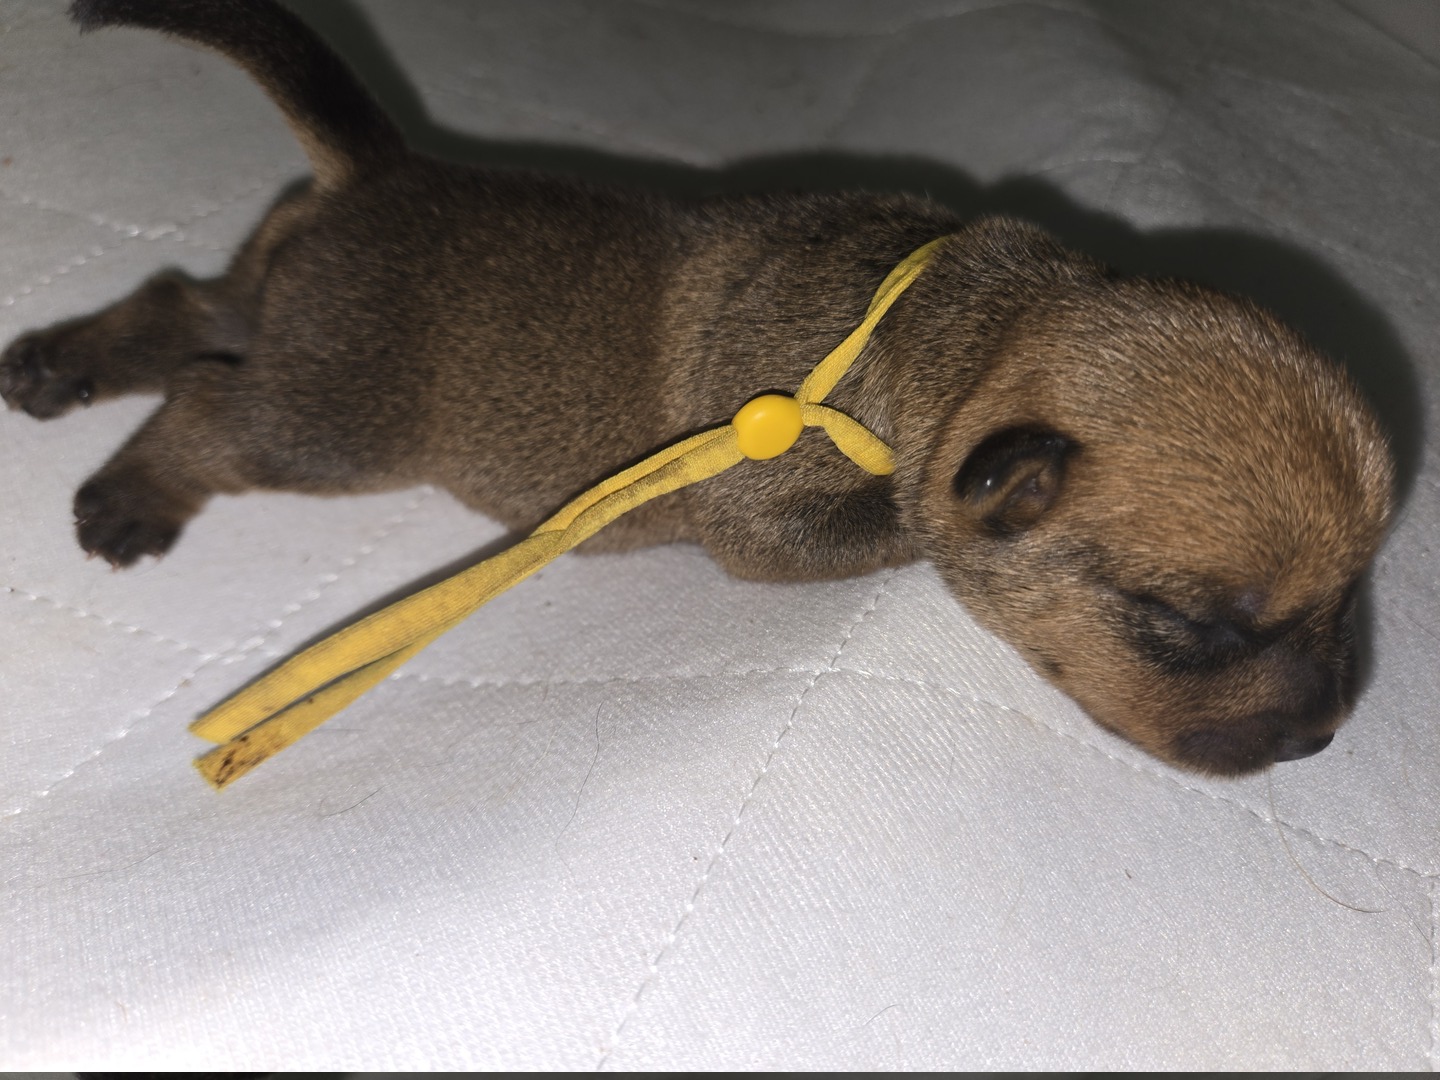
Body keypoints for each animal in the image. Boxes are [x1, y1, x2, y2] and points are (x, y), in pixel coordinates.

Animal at [0, 0, 1394, 776]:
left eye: (1356, 596)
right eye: (1194, 627)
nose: (1326, 738)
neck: (946, 323)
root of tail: (387, 170)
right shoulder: (771, 522)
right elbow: (901, 528)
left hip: (286, 310)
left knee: (185, 309)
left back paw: (57, 363)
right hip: (340, 412)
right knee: (209, 409)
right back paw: (129, 497)